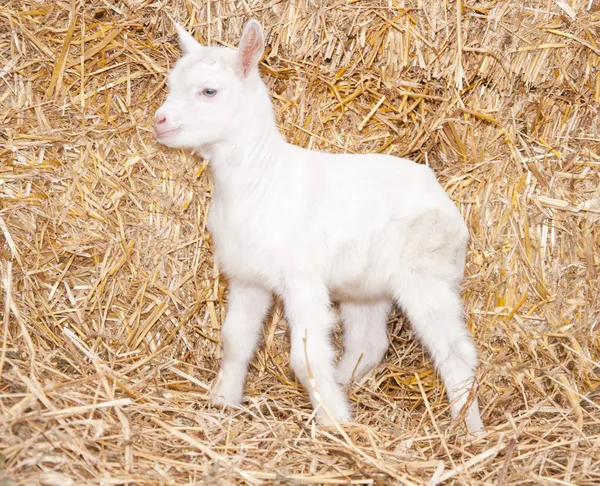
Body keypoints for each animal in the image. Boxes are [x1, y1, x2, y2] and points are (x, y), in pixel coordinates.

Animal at [152, 20, 486, 434]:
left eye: (209, 91)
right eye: (171, 83)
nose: (159, 121)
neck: (261, 180)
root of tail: (443, 198)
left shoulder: (302, 277)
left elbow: (305, 355)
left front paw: (332, 422)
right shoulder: (248, 277)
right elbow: (234, 339)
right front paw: (222, 401)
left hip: (427, 273)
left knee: (456, 350)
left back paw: (470, 429)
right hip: (366, 287)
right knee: (368, 343)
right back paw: (344, 387)